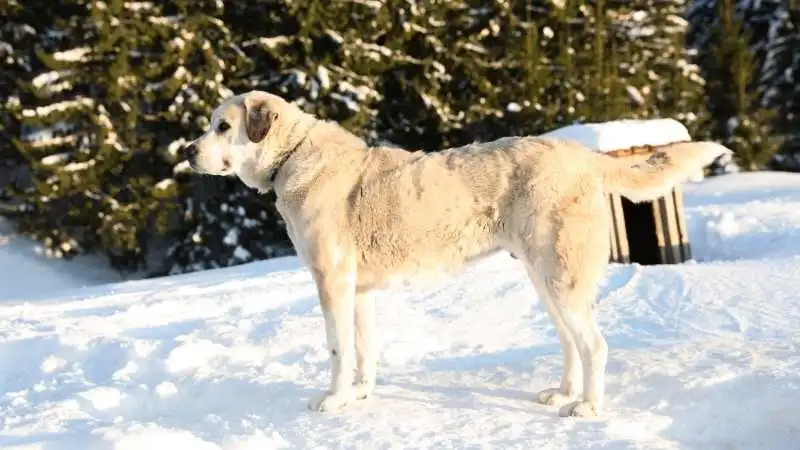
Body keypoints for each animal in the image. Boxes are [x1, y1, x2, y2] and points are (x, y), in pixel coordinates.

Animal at [186, 90, 732, 418]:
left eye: (222, 126)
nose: (187, 151)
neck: (293, 155)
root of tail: (584, 156)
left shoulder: (331, 282)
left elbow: (338, 350)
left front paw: (334, 399)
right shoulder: (357, 291)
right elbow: (363, 348)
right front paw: (360, 394)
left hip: (561, 278)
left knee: (594, 346)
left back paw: (586, 409)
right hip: (545, 280)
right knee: (571, 344)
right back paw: (563, 394)